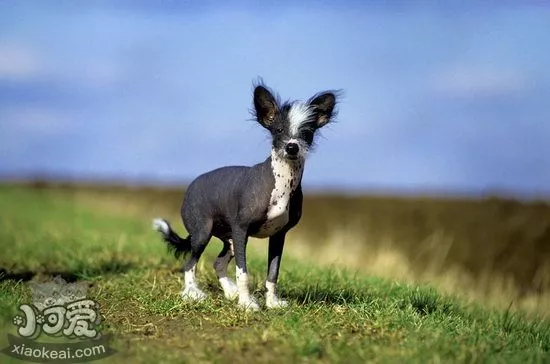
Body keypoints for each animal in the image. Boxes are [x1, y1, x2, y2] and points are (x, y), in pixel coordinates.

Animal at [153, 82, 338, 310]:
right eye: (278, 130)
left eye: (307, 132)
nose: (292, 147)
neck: (283, 183)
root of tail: (191, 186)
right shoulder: (242, 230)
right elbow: (243, 273)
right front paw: (247, 304)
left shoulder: (279, 235)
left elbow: (273, 273)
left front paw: (271, 302)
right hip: (203, 233)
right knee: (189, 263)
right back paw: (192, 294)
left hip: (230, 240)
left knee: (218, 263)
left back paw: (229, 292)